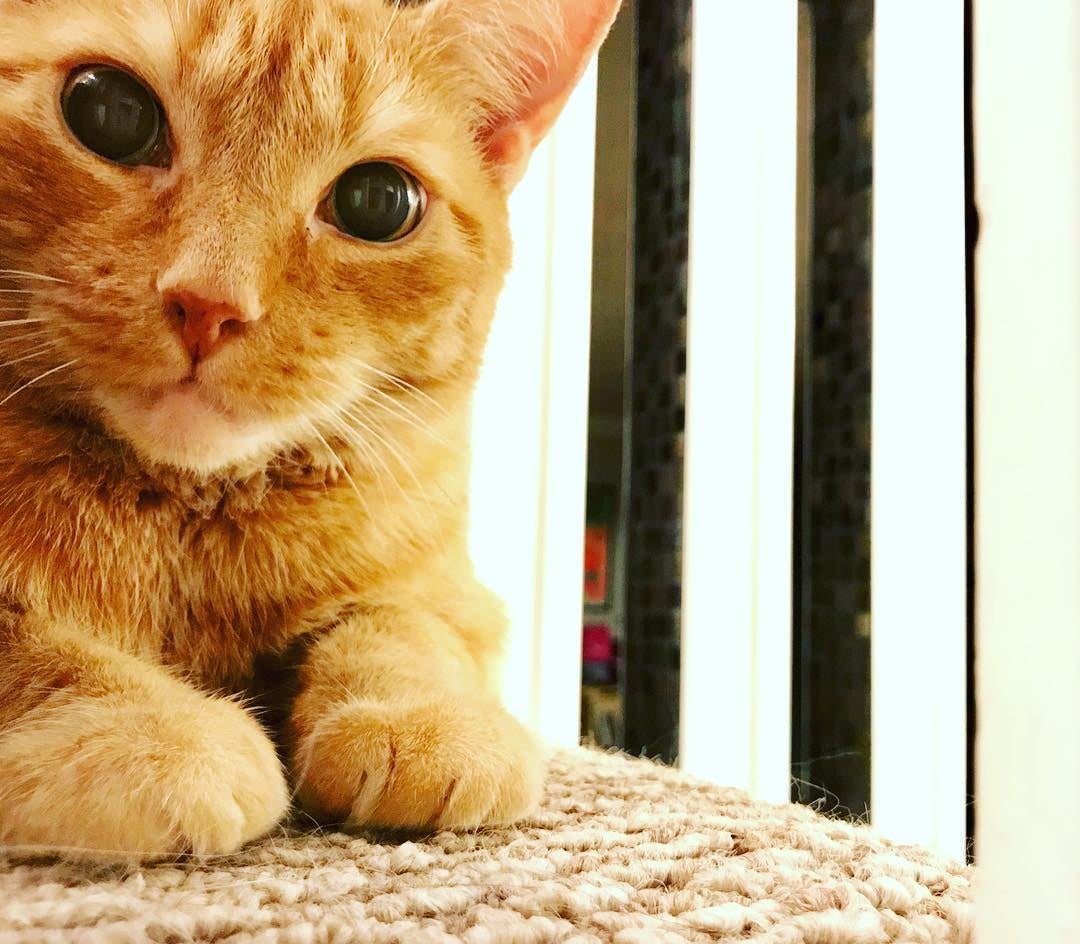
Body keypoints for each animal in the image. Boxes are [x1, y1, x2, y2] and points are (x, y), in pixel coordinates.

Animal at [0, 0, 622, 855]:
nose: (208, 304)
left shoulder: (446, 591)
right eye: (110, 111)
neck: (188, 511)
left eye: (378, 202)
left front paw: (420, 719)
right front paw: (145, 730)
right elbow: (31, 645)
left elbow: (403, 627)